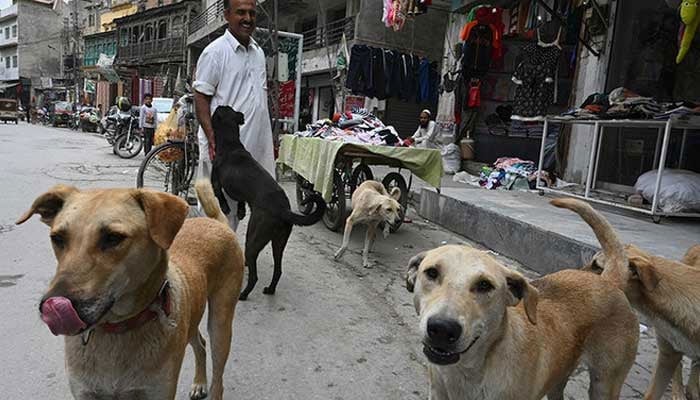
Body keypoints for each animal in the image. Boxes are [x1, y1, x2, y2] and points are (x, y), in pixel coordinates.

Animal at [15, 179, 245, 400]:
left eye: (113, 238)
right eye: (58, 238)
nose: (50, 305)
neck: (117, 329)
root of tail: (215, 221)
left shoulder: (157, 392)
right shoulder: (86, 392)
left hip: (221, 324)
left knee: (218, 377)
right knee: (200, 344)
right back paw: (199, 382)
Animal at [209, 106, 326, 300]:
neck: (230, 143)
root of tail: (283, 210)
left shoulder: (216, 181)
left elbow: (220, 194)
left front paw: (226, 207)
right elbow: (241, 200)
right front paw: (240, 211)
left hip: (254, 237)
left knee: (254, 276)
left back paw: (243, 294)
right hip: (279, 242)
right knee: (278, 270)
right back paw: (270, 289)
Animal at [404, 244, 640, 400]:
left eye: (484, 285)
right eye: (432, 272)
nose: (442, 329)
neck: (469, 372)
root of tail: (608, 281)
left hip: (605, 385)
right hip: (558, 377)